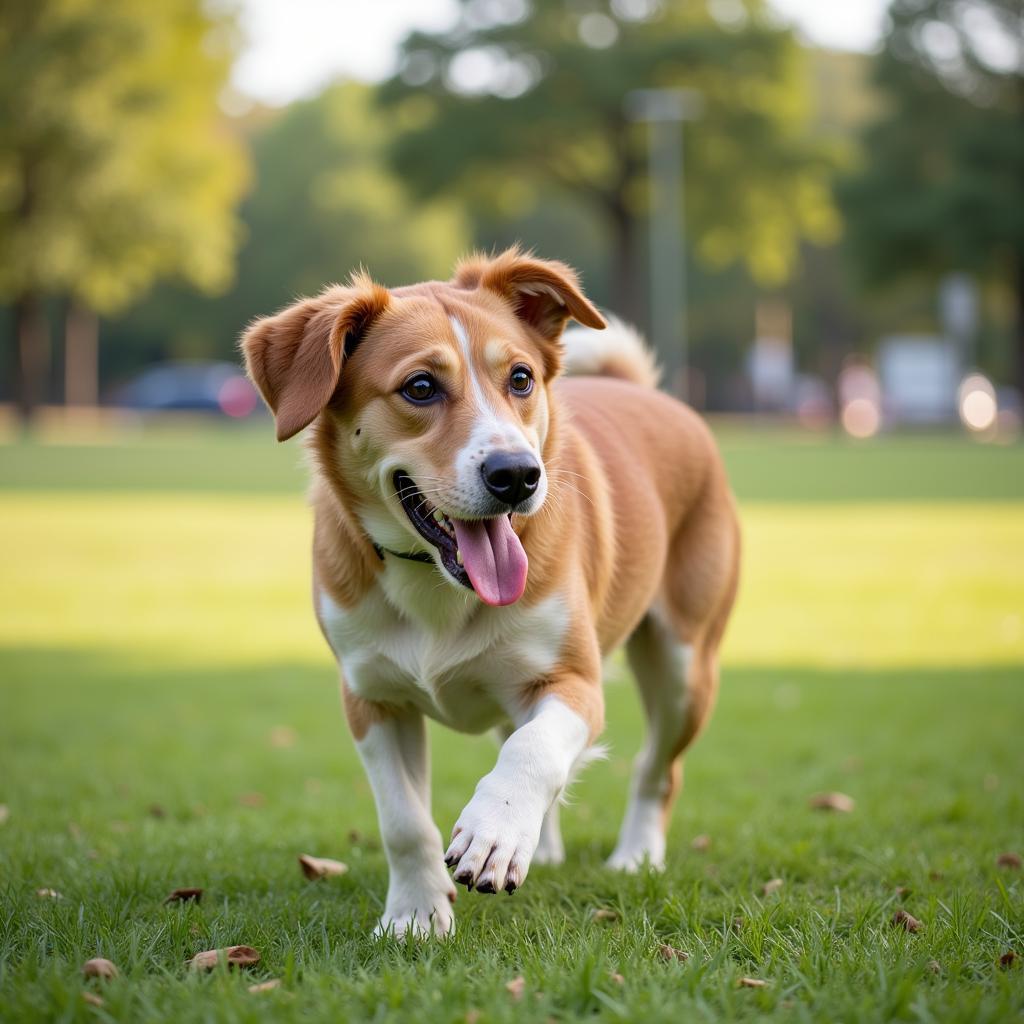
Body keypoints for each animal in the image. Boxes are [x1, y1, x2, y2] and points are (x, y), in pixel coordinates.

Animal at [243, 245, 741, 937]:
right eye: (420, 387)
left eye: (522, 378)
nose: (518, 475)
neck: (435, 583)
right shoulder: (371, 699)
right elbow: (404, 822)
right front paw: (416, 913)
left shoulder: (573, 681)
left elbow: (533, 751)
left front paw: (496, 832)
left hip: (684, 667)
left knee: (656, 769)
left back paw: (635, 854)